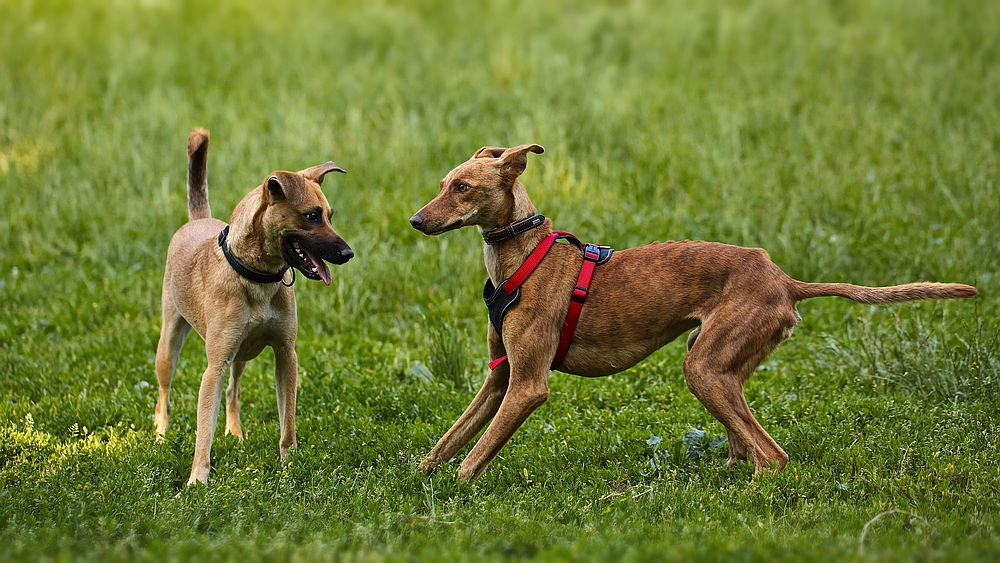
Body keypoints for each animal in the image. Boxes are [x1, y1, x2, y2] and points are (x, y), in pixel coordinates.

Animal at [156, 128, 356, 484]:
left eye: (330, 216)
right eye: (312, 215)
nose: (348, 254)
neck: (258, 278)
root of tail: (198, 220)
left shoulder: (286, 355)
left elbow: (287, 422)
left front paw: (289, 465)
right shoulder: (214, 366)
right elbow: (203, 430)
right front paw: (198, 479)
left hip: (241, 355)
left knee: (233, 393)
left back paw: (234, 433)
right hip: (170, 343)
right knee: (163, 395)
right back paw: (161, 434)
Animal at [410, 144, 980, 480]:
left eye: (463, 187)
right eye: (442, 184)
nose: (415, 220)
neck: (521, 255)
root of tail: (785, 281)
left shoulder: (528, 386)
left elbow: (475, 456)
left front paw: (453, 499)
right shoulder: (499, 378)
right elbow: (451, 439)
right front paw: (416, 480)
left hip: (702, 368)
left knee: (772, 456)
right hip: (717, 365)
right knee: (746, 445)